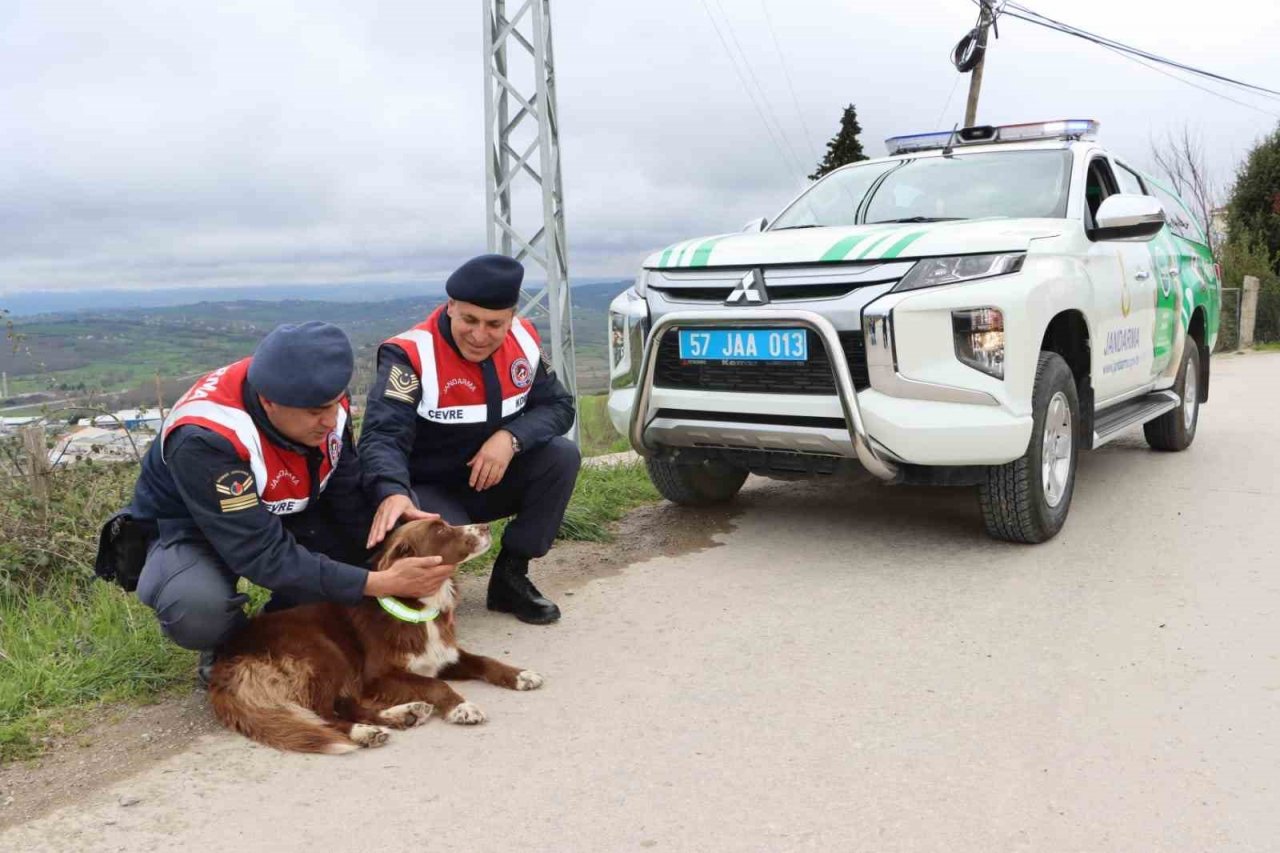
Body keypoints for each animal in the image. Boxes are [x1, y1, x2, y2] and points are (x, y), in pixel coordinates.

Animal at [206, 517, 545, 753]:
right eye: (440, 530)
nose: (487, 526)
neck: (418, 607)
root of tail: (226, 657)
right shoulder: (377, 676)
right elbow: (435, 685)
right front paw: (461, 707)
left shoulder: (443, 656)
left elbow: (485, 661)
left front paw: (520, 675)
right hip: (326, 654)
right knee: (326, 712)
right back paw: (364, 732)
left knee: (346, 705)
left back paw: (404, 715)